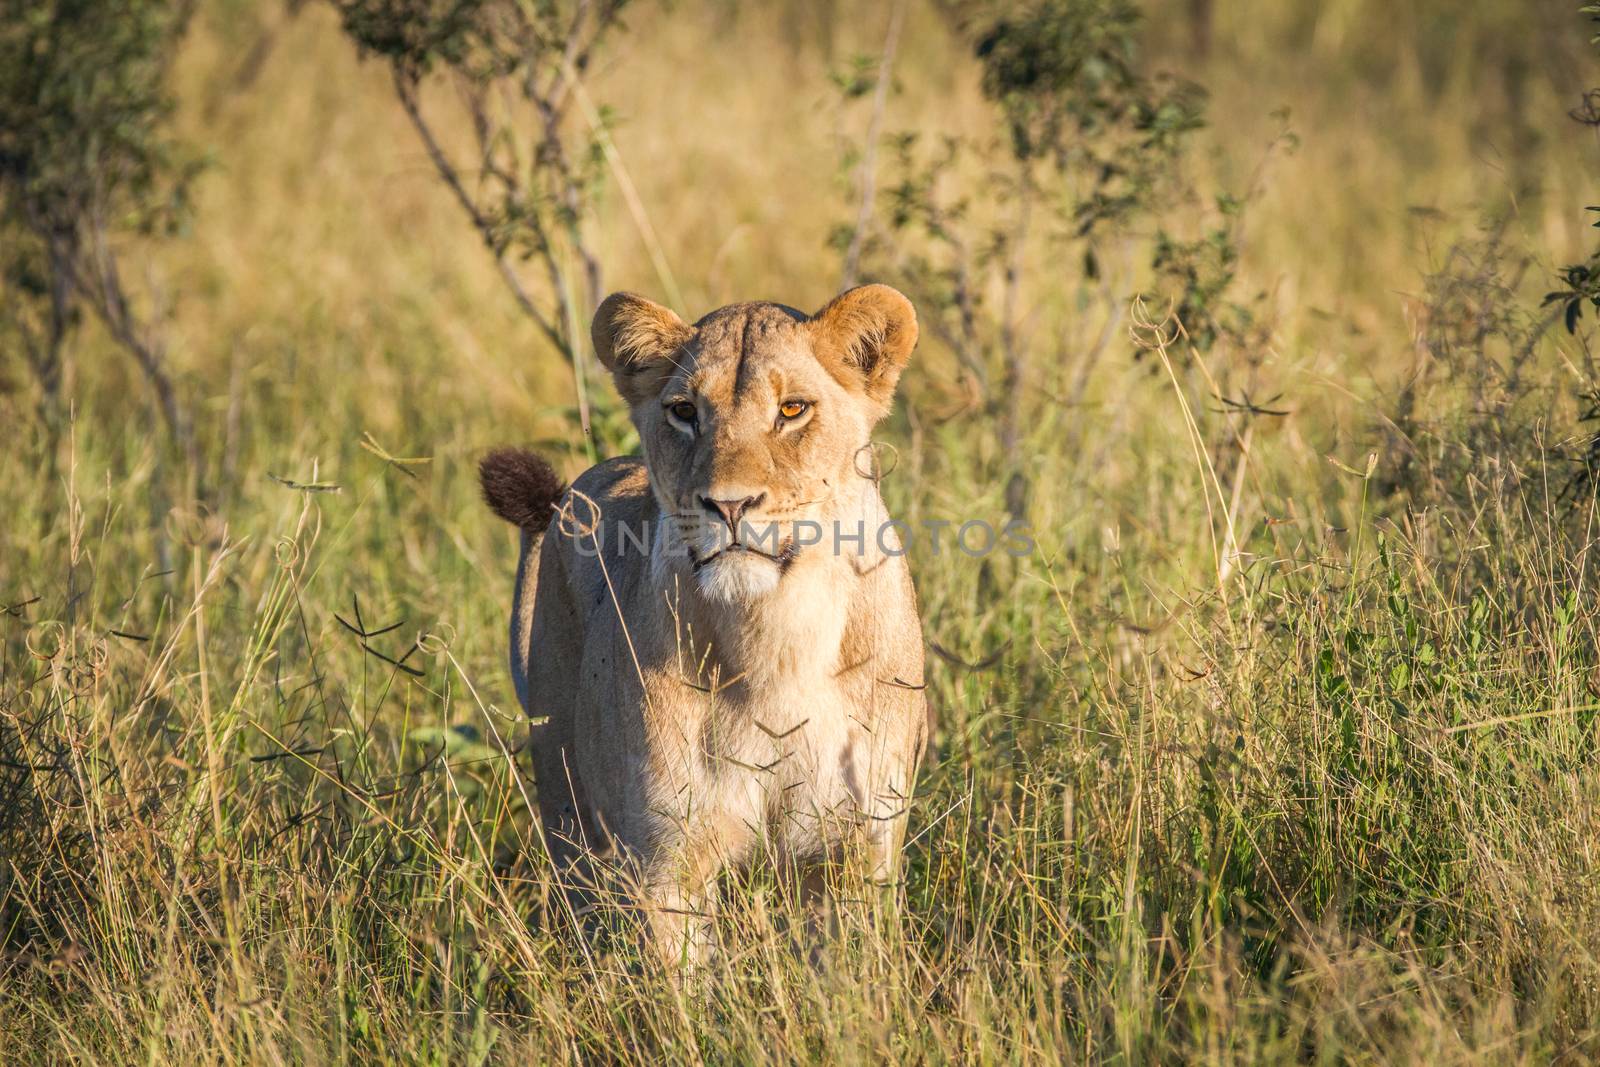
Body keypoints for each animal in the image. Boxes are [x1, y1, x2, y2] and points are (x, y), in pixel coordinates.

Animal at [476, 283, 928, 966]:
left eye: (792, 409)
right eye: (685, 411)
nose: (728, 505)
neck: (777, 639)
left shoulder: (858, 844)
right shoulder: (667, 859)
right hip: (568, 806)